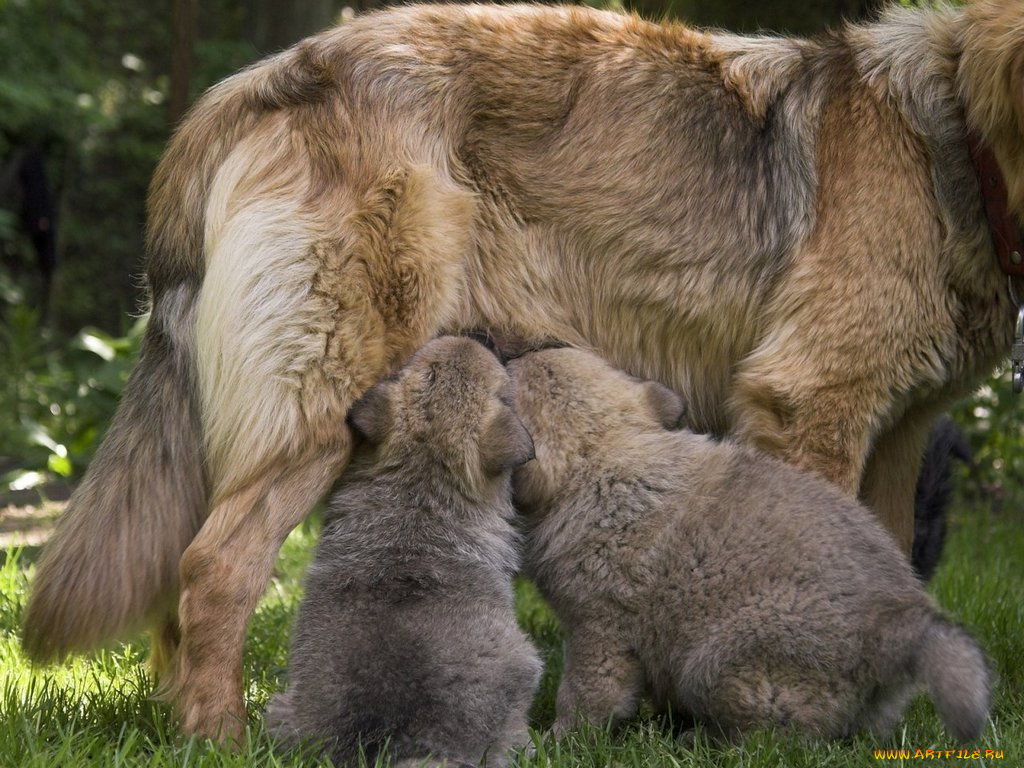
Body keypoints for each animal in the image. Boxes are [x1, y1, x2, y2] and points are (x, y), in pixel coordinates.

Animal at [512, 348, 991, 745]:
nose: (513, 346)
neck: (609, 454)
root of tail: (897, 620)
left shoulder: (599, 632)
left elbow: (585, 695)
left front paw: (559, 740)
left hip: (718, 663)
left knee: (781, 735)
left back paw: (702, 738)